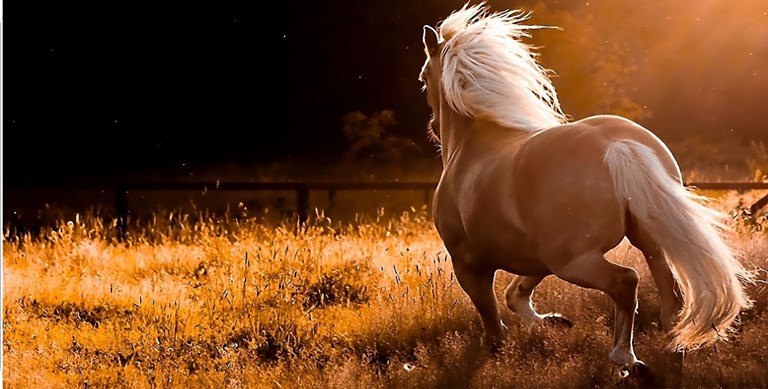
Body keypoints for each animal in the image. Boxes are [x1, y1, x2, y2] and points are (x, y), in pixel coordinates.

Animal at [420, 2, 752, 372]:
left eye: (423, 79)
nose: (432, 128)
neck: (472, 145)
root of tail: (617, 146)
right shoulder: (535, 257)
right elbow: (515, 294)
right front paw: (551, 322)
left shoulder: (469, 263)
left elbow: (491, 316)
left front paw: (497, 351)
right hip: (643, 240)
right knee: (670, 290)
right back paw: (672, 343)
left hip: (575, 261)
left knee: (626, 281)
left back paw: (626, 359)